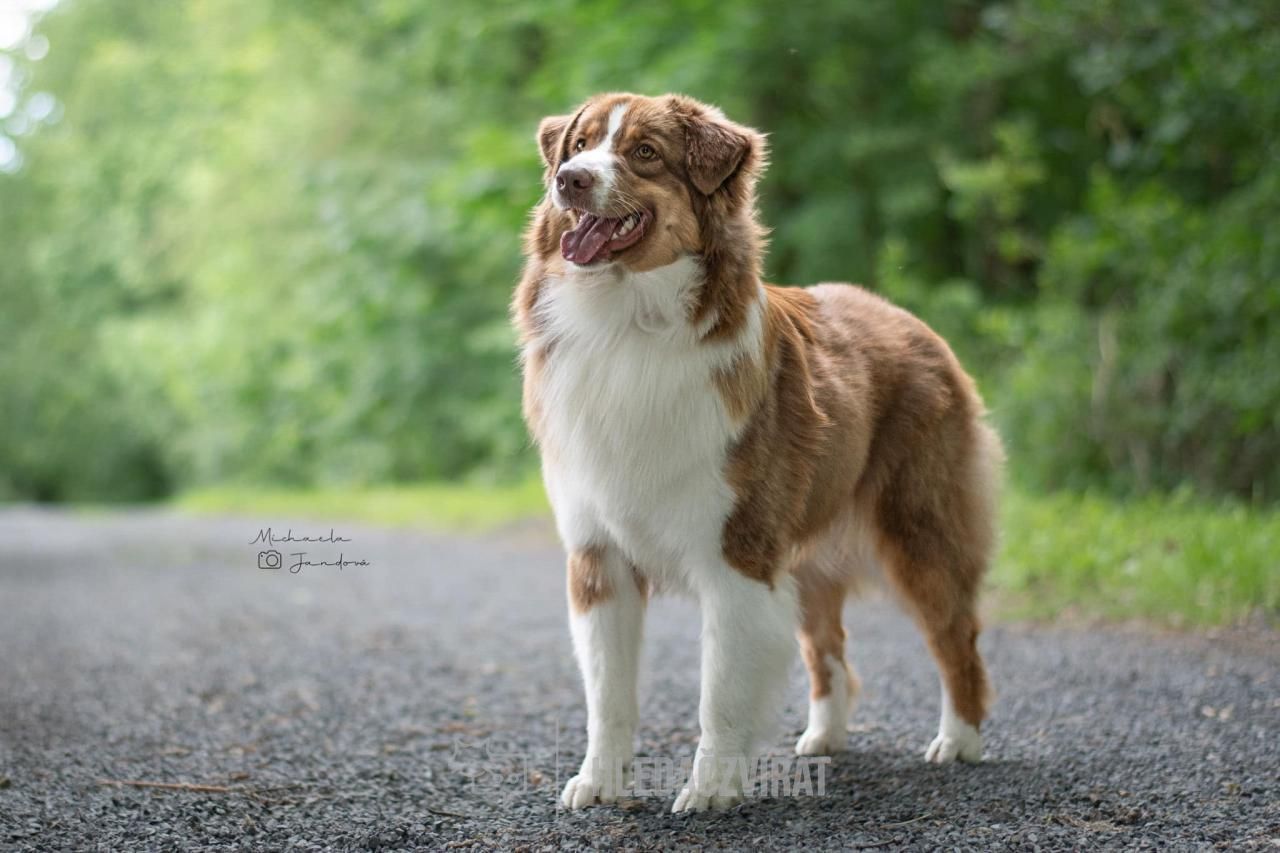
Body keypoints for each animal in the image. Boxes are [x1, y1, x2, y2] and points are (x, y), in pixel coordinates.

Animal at [513, 93, 1001, 813]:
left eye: (644, 153)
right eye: (577, 144)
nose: (569, 179)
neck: (626, 323)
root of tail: (911, 321)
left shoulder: (736, 551)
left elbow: (719, 689)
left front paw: (712, 788)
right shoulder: (598, 556)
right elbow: (607, 692)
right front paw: (599, 781)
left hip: (920, 529)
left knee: (955, 635)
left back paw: (958, 740)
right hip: (809, 554)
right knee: (830, 649)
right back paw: (824, 736)